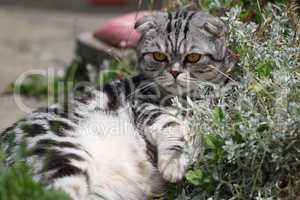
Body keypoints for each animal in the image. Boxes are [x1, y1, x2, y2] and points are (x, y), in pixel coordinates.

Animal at [0, 10, 236, 200]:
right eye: (158, 56)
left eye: (193, 57)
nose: (174, 72)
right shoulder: (145, 106)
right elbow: (171, 125)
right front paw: (174, 162)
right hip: (65, 157)